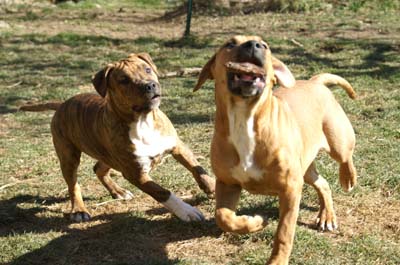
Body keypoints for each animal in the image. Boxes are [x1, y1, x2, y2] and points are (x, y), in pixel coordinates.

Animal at [21, 52, 216, 222]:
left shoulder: (177, 145)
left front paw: (212, 187)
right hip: (69, 156)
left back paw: (118, 192)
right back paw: (79, 210)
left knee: (98, 169)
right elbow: (163, 192)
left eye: (147, 69)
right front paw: (187, 211)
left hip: (108, 155)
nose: (150, 85)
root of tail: (62, 104)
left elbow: (197, 168)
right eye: (124, 80)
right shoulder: (135, 173)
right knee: (73, 184)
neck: (143, 122)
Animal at [194, 36, 356, 262]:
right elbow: (224, 217)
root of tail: (315, 82)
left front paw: (278, 260)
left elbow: (284, 232)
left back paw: (347, 179)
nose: (254, 45)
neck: (245, 119)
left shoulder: (290, 189)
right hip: (305, 169)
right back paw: (327, 216)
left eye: (265, 45)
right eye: (230, 43)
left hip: (337, 141)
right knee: (322, 183)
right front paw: (255, 222)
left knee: (346, 157)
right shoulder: (228, 183)